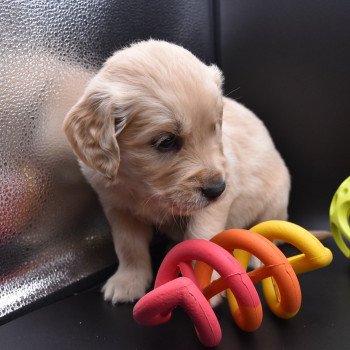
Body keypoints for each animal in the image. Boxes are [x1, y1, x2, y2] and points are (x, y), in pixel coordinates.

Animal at [63, 40, 290, 304]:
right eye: (167, 141)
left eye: (215, 129)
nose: (217, 188)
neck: (143, 188)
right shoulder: (118, 209)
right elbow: (129, 247)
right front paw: (128, 281)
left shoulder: (214, 206)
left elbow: (201, 239)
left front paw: (204, 287)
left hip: (274, 200)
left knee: (270, 229)